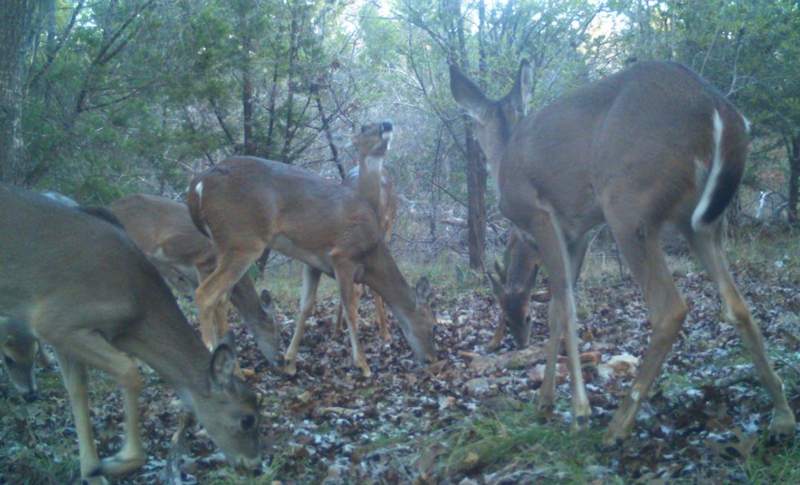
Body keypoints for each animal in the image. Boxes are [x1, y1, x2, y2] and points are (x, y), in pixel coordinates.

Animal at [0, 183, 260, 482]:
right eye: (247, 419)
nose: (256, 464)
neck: (135, 310)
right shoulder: (55, 319)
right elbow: (129, 372)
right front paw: (119, 461)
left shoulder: (64, 337)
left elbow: (77, 389)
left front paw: (91, 468)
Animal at [188, 119, 438, 376]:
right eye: (432, 325)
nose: (432, 359)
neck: (371, 255)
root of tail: (197, 186)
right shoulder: (343, 255)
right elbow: (350, 307)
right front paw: (363, 364)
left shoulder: (313, 261)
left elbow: (306, 306)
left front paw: (290, 362)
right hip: (243, 241)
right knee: (205, 293)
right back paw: (210, 352)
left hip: (225, 245)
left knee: (221, 298)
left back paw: (235, 368)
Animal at [450, 58, 792, 440]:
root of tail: (719, 108)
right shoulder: (577, 232)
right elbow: (555, 309)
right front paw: (545, 403)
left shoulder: (543, 217)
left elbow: (566, 306)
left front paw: (579, 411)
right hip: (699, 222)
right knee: (737, 304)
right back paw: (782, 416)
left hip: (628, 206)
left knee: (670, 308)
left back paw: (618, 425)